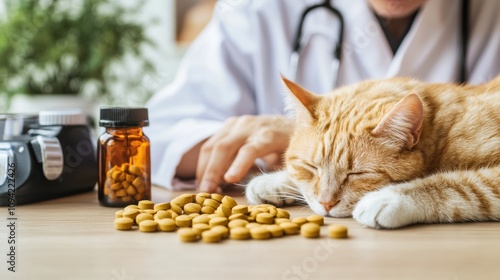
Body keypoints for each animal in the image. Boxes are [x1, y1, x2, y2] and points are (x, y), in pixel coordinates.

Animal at [246, 76, 500, 228]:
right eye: (311, 167)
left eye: (357, 175)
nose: (326, 204)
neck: (442, 129)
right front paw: (275, 181)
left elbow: (459, 186)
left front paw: (388, 197)